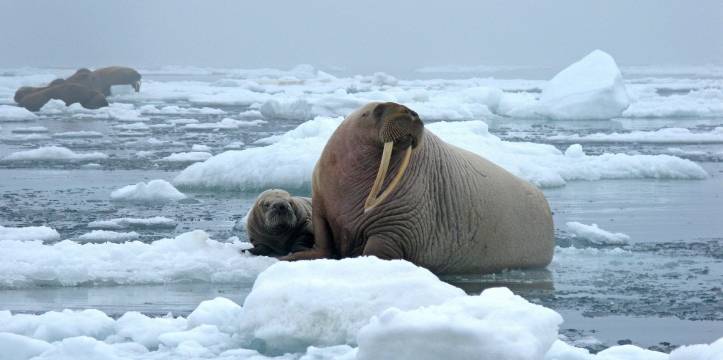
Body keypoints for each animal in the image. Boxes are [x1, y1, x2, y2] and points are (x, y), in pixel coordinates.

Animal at [282, 102, 556, 274]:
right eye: (378, 109)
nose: (412, 113)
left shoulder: (397, 225)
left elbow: (378, 249)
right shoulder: (321, 203)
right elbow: (324, 239)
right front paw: (292, 257)